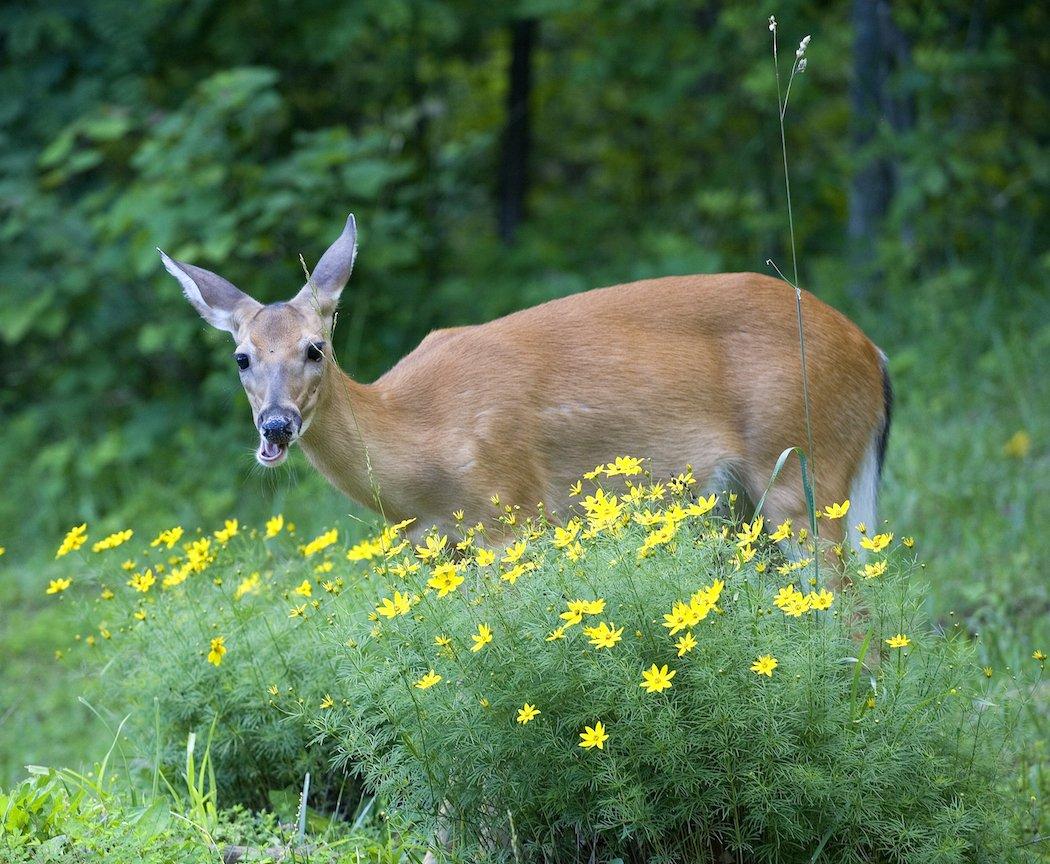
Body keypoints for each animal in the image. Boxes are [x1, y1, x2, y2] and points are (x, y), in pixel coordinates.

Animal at [159, 216, 890, 554]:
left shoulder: (512, 514)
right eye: (241, 358)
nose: (276, 426)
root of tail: (873, 353)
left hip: (802, 468)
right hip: (754, 500)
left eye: (316, 348)